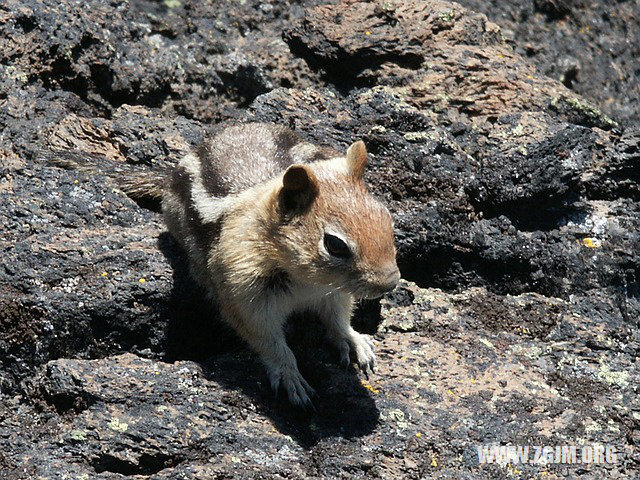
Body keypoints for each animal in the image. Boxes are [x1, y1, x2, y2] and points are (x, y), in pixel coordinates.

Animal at [50, 123, 402, 404]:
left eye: (387, 219)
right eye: (335, 245)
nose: (390, 282)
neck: (308, 281)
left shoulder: (335, 293)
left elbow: (338, 319)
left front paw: (355, 341)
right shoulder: (243, 294)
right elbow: (269, 341)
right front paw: (290, 376)